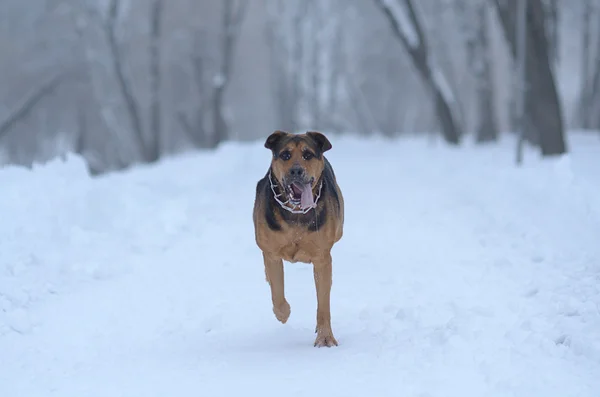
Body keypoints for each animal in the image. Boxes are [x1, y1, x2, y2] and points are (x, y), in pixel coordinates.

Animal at [251, 130, 344, 346]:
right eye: (285, 155)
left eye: (307, 155)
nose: (296, 171)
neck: (296, 212)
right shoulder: (272, 253)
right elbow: (277, 291)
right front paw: (283, 313)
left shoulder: (322, 258)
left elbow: (323, 301)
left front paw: (325, 337)